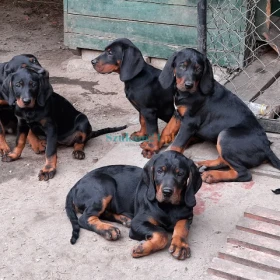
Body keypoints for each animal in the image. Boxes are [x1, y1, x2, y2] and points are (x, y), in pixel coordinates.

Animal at [65, 151, 201, 260]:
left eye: (180, 174)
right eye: (159, 171)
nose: (167, 192)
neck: (168, 207)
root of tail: (76, 184)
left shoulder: (187, 217)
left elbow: (182, 228)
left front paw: (180, 246)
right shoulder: (139, 222)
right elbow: (161, 234)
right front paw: (142, 248)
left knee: (103, 213)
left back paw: (124, 219)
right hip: (105, 186)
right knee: (85, 218)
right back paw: (108, 229)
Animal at [152, 47, 280, 184]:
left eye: (198, 69)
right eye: (182, 66)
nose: (189, 85)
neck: (186, 93)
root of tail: (266, 147)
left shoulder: (189, 122)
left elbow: (177, 144)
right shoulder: (177, 114)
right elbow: (166, 130)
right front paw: (153, 146)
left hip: (225, 136)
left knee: (244, 173)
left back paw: (212, 175)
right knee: (224, 161)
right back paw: (204, 165)